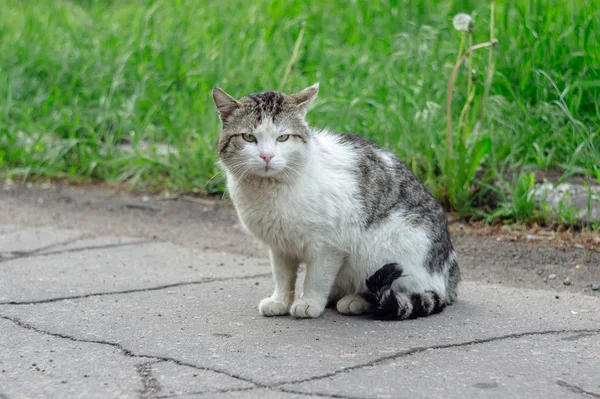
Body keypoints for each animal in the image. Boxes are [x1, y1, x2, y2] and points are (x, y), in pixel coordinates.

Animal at [211, 85, 460, 322]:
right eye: (248, 138)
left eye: (282, 138)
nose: (266, 156)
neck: (269, 190)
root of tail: (450, 281)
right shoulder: (280, 247)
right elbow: (282, 277)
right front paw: (280, 301)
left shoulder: (328, 246)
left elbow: (316, 278)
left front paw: (309, 302)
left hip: (382, 248)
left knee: (391, 289)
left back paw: (354, 300)